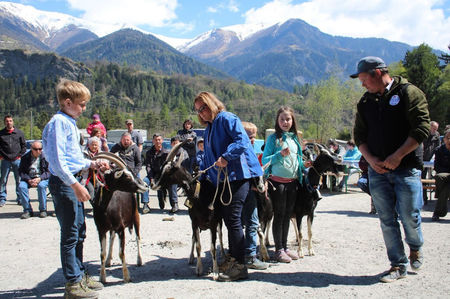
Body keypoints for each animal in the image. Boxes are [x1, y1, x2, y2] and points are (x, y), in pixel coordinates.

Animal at [90, 154, 149, 284]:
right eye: (126, 176)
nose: (145, 186)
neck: (105, 207)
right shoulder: (101, 230)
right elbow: (102, 253)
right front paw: (102, 277)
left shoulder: (121, 228)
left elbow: (122, 253)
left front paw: (126, 277)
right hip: (112, 227)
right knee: (112, 237)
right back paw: (108, 260)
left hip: (135, 216)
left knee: (137, 237)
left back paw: (139, 260)